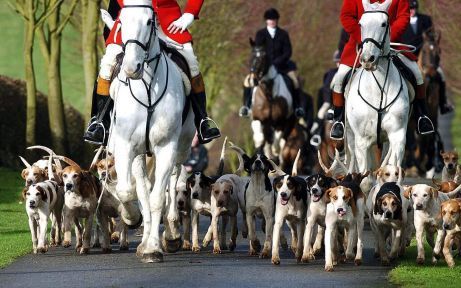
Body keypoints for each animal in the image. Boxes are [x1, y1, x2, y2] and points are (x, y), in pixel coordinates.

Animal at [108, 0, 196, 262]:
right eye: (121, 20)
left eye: (149, 21)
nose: (131, 68)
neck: (146, 86)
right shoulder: (125, 146)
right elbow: (128, 191)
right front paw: (132, 218)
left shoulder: (166, 147)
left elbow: (158, 198)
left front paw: (154, 247)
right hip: (139, 154)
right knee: (142, 187)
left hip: (181, 146)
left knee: (173, 181)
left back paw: (171, 233)